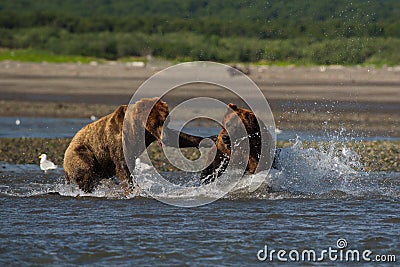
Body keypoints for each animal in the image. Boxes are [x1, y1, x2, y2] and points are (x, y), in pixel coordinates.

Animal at [64, 97, 208, 194]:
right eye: (155, 123)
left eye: (165, 121)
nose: (164, 137)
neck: (138, 127)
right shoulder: (119, 138)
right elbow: (122, 165)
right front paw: (131, 191)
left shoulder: (147, 135)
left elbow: (177, 137)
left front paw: (205, 140)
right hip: (82, 154)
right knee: (87, 173)